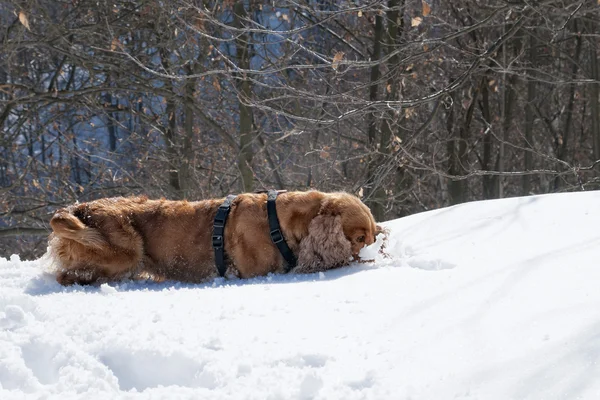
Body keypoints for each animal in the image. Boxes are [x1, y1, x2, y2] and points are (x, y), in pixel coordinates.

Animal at [50, 190, 380, 284]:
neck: (280, 224)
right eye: (359, 238)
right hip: (126, 252)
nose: (375, 246)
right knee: (67, 276)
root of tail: (79, 208)